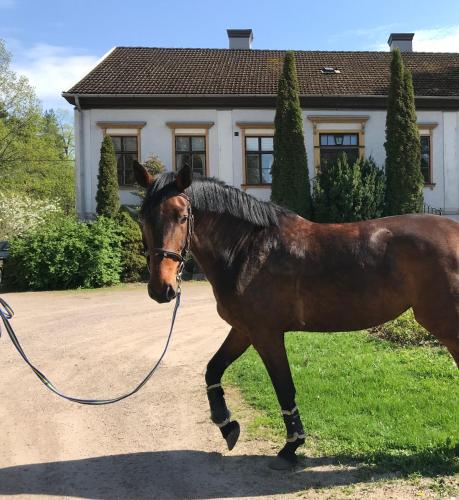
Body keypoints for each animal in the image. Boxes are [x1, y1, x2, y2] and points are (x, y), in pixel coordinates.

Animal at [133, 161, 459, 468]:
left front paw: (291, 446)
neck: (248, 250)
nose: (161, 288)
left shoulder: (267, 334)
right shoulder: (244, 330)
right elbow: (213, 369)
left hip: (446, 326)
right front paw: (227, 425)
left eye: (182, 216)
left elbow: (284, 387)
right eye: (143, 217)